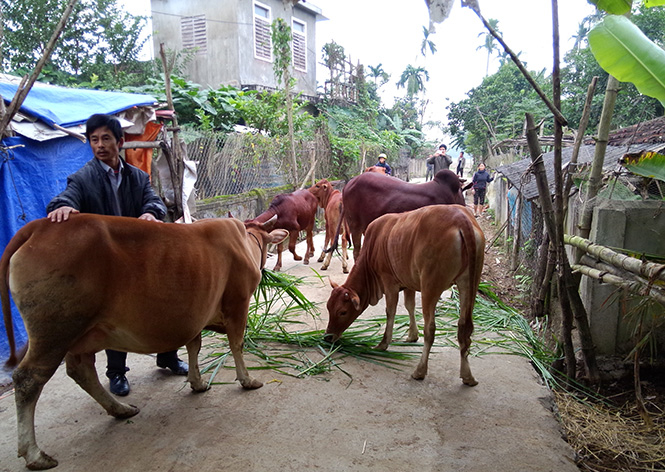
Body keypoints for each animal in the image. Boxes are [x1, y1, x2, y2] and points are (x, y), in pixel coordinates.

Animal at [0, 213, 286, 468]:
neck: (244, 241)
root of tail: (39, 226)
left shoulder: (196, 312)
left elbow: (194, 346)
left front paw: (197, 382)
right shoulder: (238, 303)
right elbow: (237, 344)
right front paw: (247, 380)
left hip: (80, 335)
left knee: (81, 371)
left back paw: (121, 410)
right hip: (55, 333)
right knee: (28, 380)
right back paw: (34, 454)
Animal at [322, 206, 482, 388]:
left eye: (342, 312)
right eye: (328, 308)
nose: (327, 337)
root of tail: (461, 218)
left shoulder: (389, 281)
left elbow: (390, 311)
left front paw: (383, 344)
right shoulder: (408, 283)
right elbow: (409, 306)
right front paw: (412, 335)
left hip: (430, 285)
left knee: (430, 329)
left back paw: (420, 370)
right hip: (469, 283)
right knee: (464, 327)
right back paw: (468, 376)